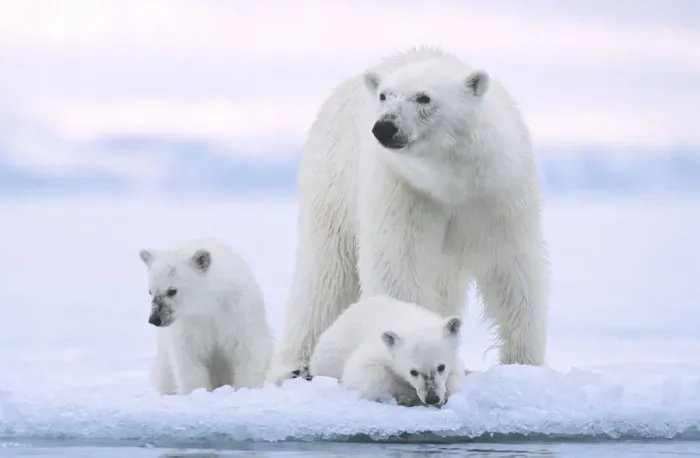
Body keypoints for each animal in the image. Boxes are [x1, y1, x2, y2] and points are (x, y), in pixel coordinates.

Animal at [139, 239, 274, 395]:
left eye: (172, 290)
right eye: (150, 291)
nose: (154, 319)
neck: (210, 304)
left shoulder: (238, 312)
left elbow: (248, 348)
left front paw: (245, 389)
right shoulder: (190, 324)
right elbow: (189, 359)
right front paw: (197, 391)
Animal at [268, 46, 550, 383]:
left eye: (423, 97)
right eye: (384, 96)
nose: (384, 127)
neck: (451, 182)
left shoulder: (498, 193)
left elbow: (512, 269)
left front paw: (522, 366)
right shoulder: (402, 189)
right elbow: (399, 264)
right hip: (332, 182)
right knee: (325, 275)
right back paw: (297, 366)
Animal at [309, 295, 465, 408]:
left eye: (441, 367)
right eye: (413, 372)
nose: (432, 398)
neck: (412, 322)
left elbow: (456, 375)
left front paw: (444, 396)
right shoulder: (377, 350)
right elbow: (363, 373)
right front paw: (406, 396)